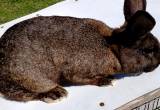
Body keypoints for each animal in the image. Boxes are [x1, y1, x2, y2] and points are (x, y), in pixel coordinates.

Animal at [0, 0, 159, 102]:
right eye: (147, 51)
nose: (158, 63)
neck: (112, 49)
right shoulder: (76, 71)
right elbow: (82, 78)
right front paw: (107, 80)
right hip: (29, 75)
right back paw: (56, 93)